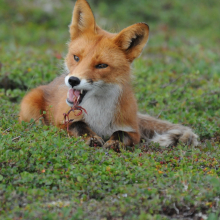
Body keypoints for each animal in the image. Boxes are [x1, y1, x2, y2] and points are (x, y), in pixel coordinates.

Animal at [18, 0, 199, 150]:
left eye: (101, 65)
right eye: (76, 57)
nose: (73, 80)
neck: (99, 116)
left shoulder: (134, 131)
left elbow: (121, 133)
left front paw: (114, 142)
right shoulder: (62, 122)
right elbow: (79, 126)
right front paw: (91, 137)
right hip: (32, 111)